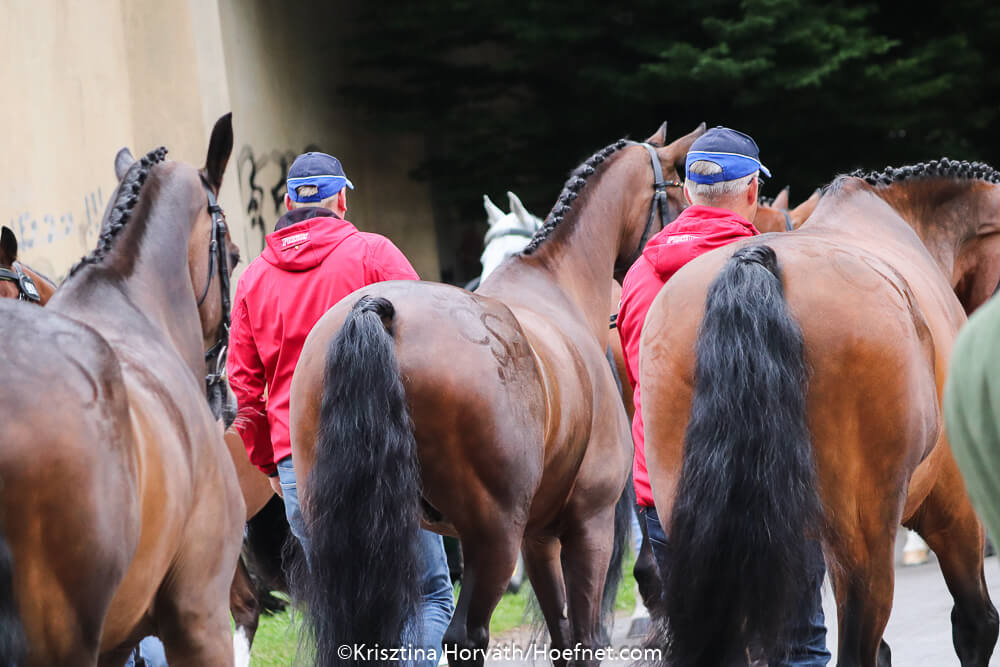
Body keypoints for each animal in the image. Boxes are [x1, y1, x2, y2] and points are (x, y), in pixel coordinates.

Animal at [286, 122, 705, 666]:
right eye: (677, 193)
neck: (558, 287)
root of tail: (378, 311)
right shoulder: (587, 526)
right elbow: (584, 640)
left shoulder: (540, 536)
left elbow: (561, 634)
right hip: (492, 538)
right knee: (465, 637)